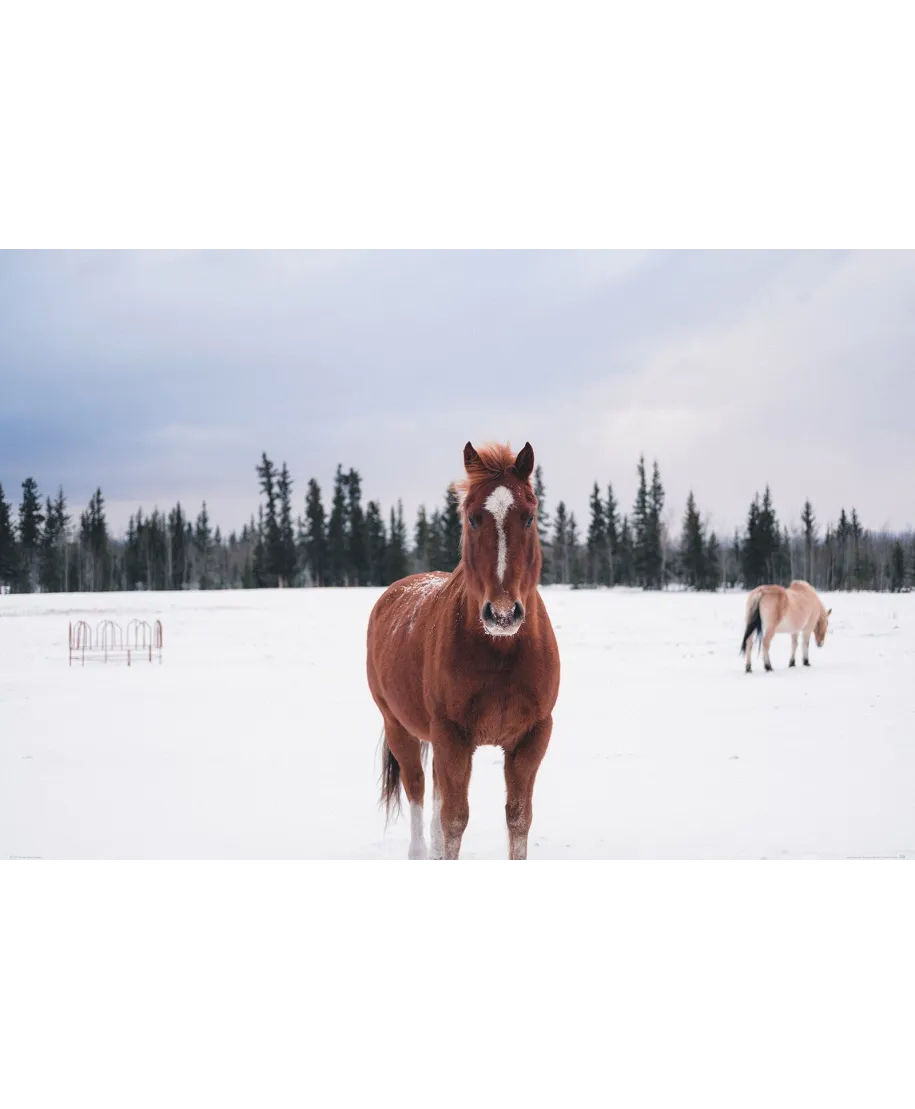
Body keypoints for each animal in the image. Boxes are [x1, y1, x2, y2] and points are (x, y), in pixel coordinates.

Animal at [363, 441, 556, 865]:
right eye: (472, 519)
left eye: (530, 517)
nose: (503, 613)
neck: (501, 652)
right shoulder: (452, 735)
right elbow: (454, 820)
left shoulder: (532, 735)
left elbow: (518, 818)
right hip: (399, 727)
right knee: (418, 790)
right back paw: (420, 854)